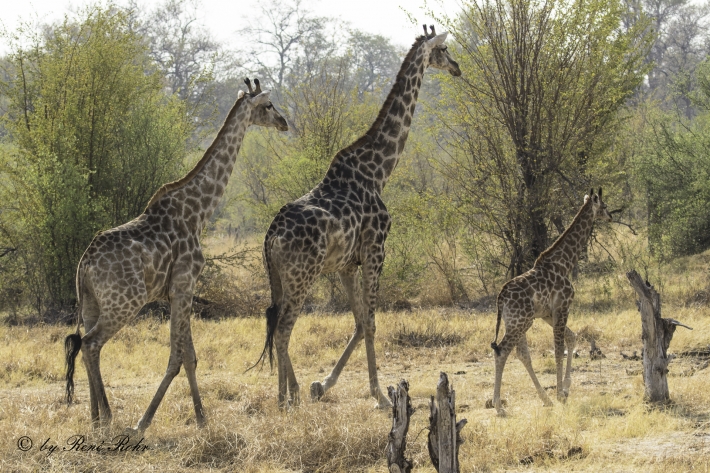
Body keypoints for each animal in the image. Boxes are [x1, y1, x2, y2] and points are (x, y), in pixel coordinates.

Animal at [63, 79, 288, 432]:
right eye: (267, 105)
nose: (284, 122)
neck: (198, 211)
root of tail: (84, 264)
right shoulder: (184, 285)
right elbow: (177, 358)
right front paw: (144, 422)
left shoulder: (177, 291)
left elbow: (190, 356)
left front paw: (201, 418)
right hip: (125, 302)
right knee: (90, 343)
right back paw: (109, 419)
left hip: (90, 304)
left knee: (86, 346)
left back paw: (97, 419)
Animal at [252, 26, 461, 409]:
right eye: (444, 49)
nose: (456, 67)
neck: (378, 171)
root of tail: (271, 235)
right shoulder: (376, 251)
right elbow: (373, 323)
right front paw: (381, 396)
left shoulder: (348, 264)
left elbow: (361, 322)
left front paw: (324, 384)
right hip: (302, 276)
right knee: (284, 329)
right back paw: (287, 399)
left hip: (278, 277)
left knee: (275, 323)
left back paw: (291, 393)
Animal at [490, 188, 612, 416]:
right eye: (604, 205)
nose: (610, 217)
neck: (565, 263)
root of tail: (500, 298)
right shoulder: (563, 306)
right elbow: (558, 349)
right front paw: (560, 393)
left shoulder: (548, 313)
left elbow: (572, 338)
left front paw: (564, 390)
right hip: (521, 322)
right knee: (502, 351)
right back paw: (499, 406)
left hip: (518, 322)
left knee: (521, 354)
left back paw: (544, 399)